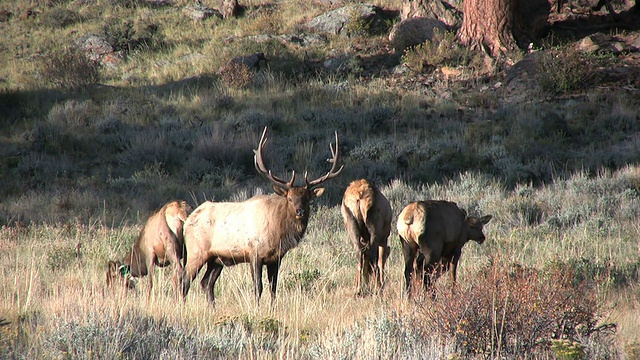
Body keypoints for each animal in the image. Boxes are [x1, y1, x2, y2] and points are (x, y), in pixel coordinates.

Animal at [180, 128, 344, 306]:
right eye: (290, 198)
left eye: (307, 199)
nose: (300, 211)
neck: (278, 233)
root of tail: (187, 221)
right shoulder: (254, 253)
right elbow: (258, 287)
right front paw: (256, 308)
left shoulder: (276, 258)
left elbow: (273, 288)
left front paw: (272, 308)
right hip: (196, 251)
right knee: (185, 280)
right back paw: (183, 306)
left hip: (217, 258)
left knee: (206, 282)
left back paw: (212, 308)